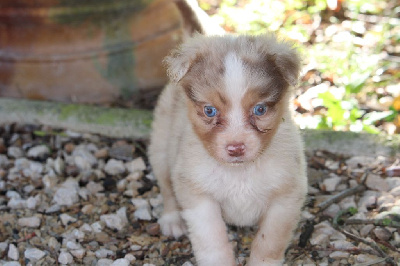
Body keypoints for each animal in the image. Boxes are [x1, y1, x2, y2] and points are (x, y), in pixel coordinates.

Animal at [148, 34, 308, 264]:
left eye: (260, 109)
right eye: (209, 110)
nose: (236, 148)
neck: (239, 172)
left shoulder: (286, 197)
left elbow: (268, 243)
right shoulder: (198, 195)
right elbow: (213, 241)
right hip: (161, 148)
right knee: (167, 187)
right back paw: (172, 220)